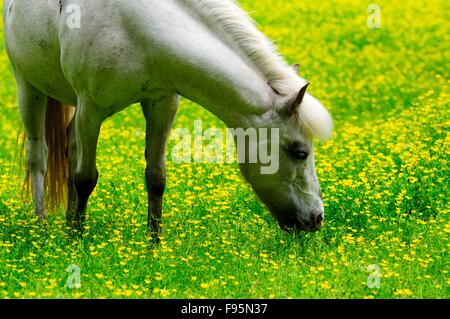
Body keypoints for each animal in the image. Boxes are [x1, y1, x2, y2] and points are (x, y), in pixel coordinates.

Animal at [2, 0, 334, 239]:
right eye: (299, 152)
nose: (317, 218)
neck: (135, 28)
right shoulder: (91, 109)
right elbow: (85, 178)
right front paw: (77, 243)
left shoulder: (161, 104)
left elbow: (156, 179)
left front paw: (154, 246)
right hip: (28, 88)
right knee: (39, 157)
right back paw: (43, 226)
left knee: (69, 149)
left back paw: (69, 222)